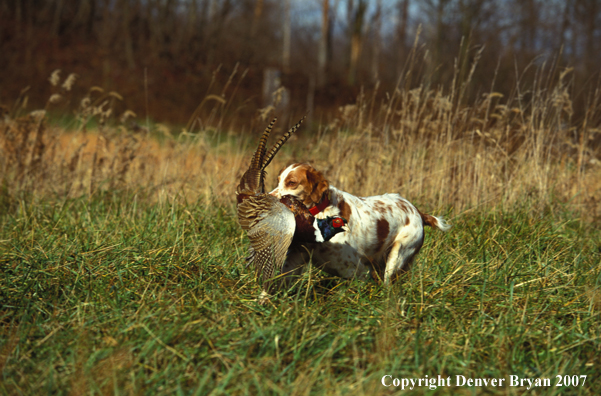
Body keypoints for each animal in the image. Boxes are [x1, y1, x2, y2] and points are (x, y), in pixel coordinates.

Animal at [270, 162, 448, 284]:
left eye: (292, 182)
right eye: (278, 180)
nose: (269, 198)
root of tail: (418, 211)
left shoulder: (355, 268)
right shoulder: (295, 258)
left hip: (398, 254)